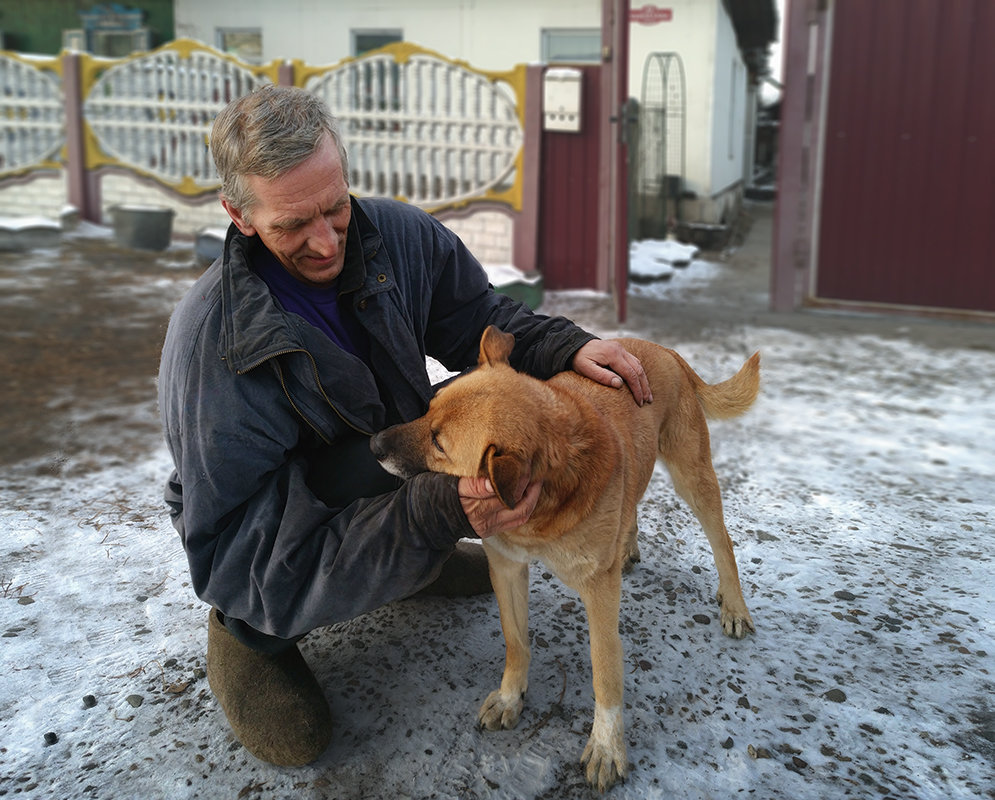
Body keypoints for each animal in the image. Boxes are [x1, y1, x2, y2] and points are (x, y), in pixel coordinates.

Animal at [370, 326, 760, 792]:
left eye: (438, 442)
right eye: (427, 410)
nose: (373, 443)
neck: (543, 508)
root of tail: (662, 349)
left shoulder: (599, 592)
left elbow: (605, 668)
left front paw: (607, 746)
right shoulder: (506, 567)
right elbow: (516, 640)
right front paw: (511, 696)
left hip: (692, 476)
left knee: (723, 543)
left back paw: (734, 605)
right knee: (633, 501)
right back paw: (626, 545)